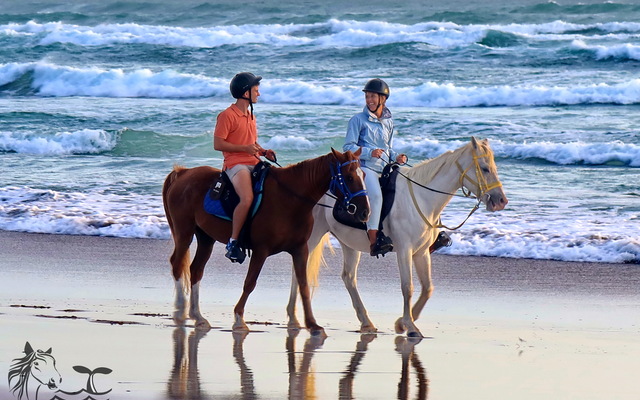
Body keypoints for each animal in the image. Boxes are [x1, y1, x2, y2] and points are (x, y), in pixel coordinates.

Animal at [162, 148, 370, 337]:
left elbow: (303, 284)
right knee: (177, 264)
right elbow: (250, 283)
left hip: (206, 238)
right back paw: (180, 310)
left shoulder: (300, 249)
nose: (365, 212)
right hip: (184, 232)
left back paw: (197, 316)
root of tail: (183, 173)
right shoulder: (261, 250)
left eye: (364, 175)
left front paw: (312, 324)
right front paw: (239, 319)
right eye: (349, 177)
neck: (290, 199)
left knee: (196, 270)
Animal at [286, 137, 508, 338]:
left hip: (349, 243)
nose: (501, 201)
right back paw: (294, 319)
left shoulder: (421, 253)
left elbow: (428, 288)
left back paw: (366, 322)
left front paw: (402, 322)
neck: (421, 199)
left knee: (348, 277)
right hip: (312, 237)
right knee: (299, 272)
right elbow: (407, 286)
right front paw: (409, 325)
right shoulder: (404, 250)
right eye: (485, 168)